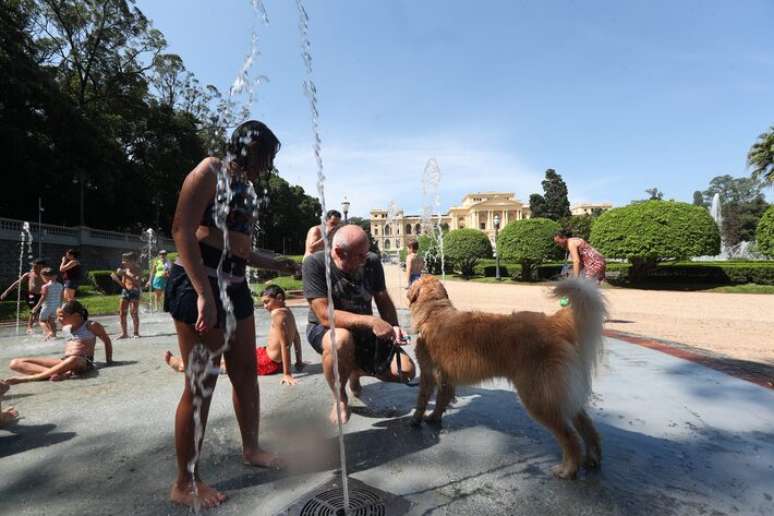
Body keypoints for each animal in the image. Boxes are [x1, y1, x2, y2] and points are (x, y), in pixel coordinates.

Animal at [410, 276, 608, 478]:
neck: (433, 312)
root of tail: (553, 322)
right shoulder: (446, 380)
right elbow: (442, 401)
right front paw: (434, 417)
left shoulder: (427, 373)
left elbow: (422, 400)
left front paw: (416, 420)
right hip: (560, 394)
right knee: (587, 427)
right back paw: (593, 458)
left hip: (538, 397)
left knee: (570, 437)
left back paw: (567, 469)